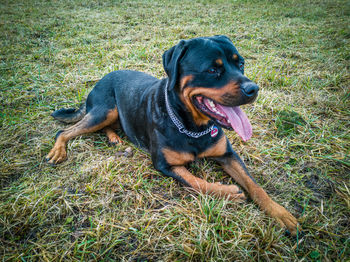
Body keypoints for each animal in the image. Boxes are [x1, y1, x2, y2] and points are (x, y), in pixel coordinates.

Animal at [45, 35, 300, 235]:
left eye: (242, 64)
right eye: (213, 70)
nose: (253, 89)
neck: (193, 127)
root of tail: (102, 78)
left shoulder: (228, 154)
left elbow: (254, 185)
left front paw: (280, 213)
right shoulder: (164, 164)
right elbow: (196, 182)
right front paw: (230, 192)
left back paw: (114, 137)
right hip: (103, 110)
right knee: (64, 130)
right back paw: (58, 151)